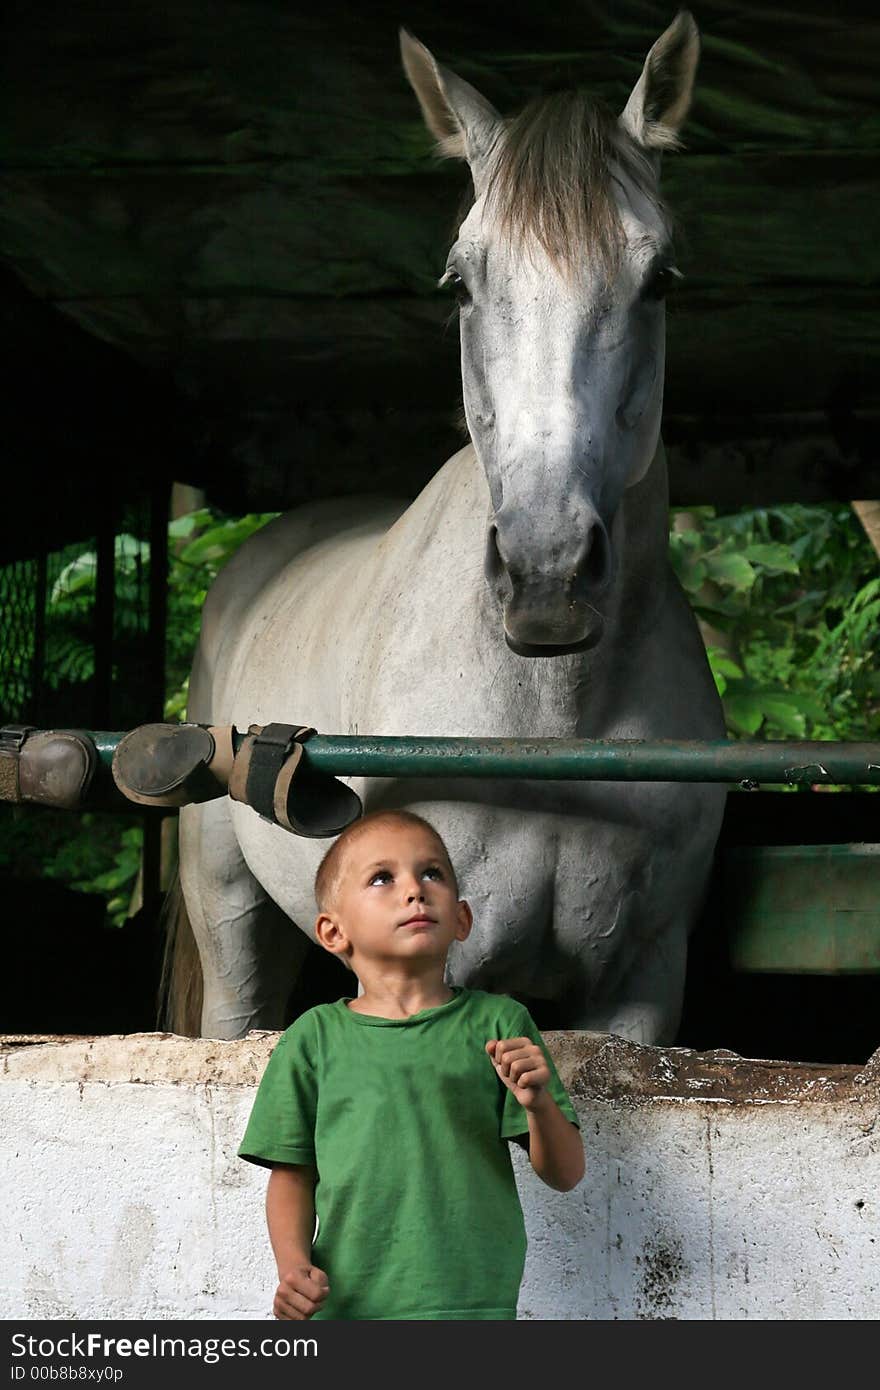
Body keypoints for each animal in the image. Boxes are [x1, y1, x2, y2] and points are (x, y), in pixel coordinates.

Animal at [175, 16, 722, 1045]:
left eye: (660, 280)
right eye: (462, 283)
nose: (547, 572)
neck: (552, 724)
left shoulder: (644, 981)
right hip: (228, 920)